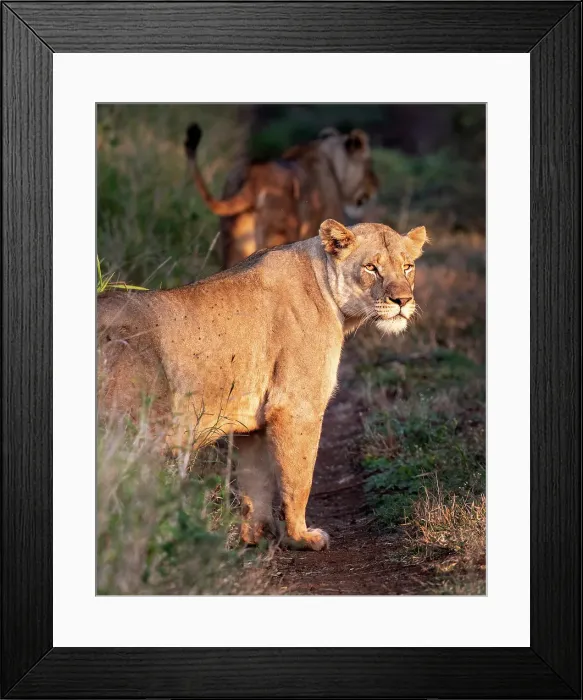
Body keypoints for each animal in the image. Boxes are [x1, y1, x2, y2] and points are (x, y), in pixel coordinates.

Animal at [98, 220, 427, 550]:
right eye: (371, 267)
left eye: (407, 267)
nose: (403, 301)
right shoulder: (296, 407)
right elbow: (299, 478)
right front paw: (301, 537)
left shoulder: (249, 424)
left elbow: (255, 483)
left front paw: (255, 538)